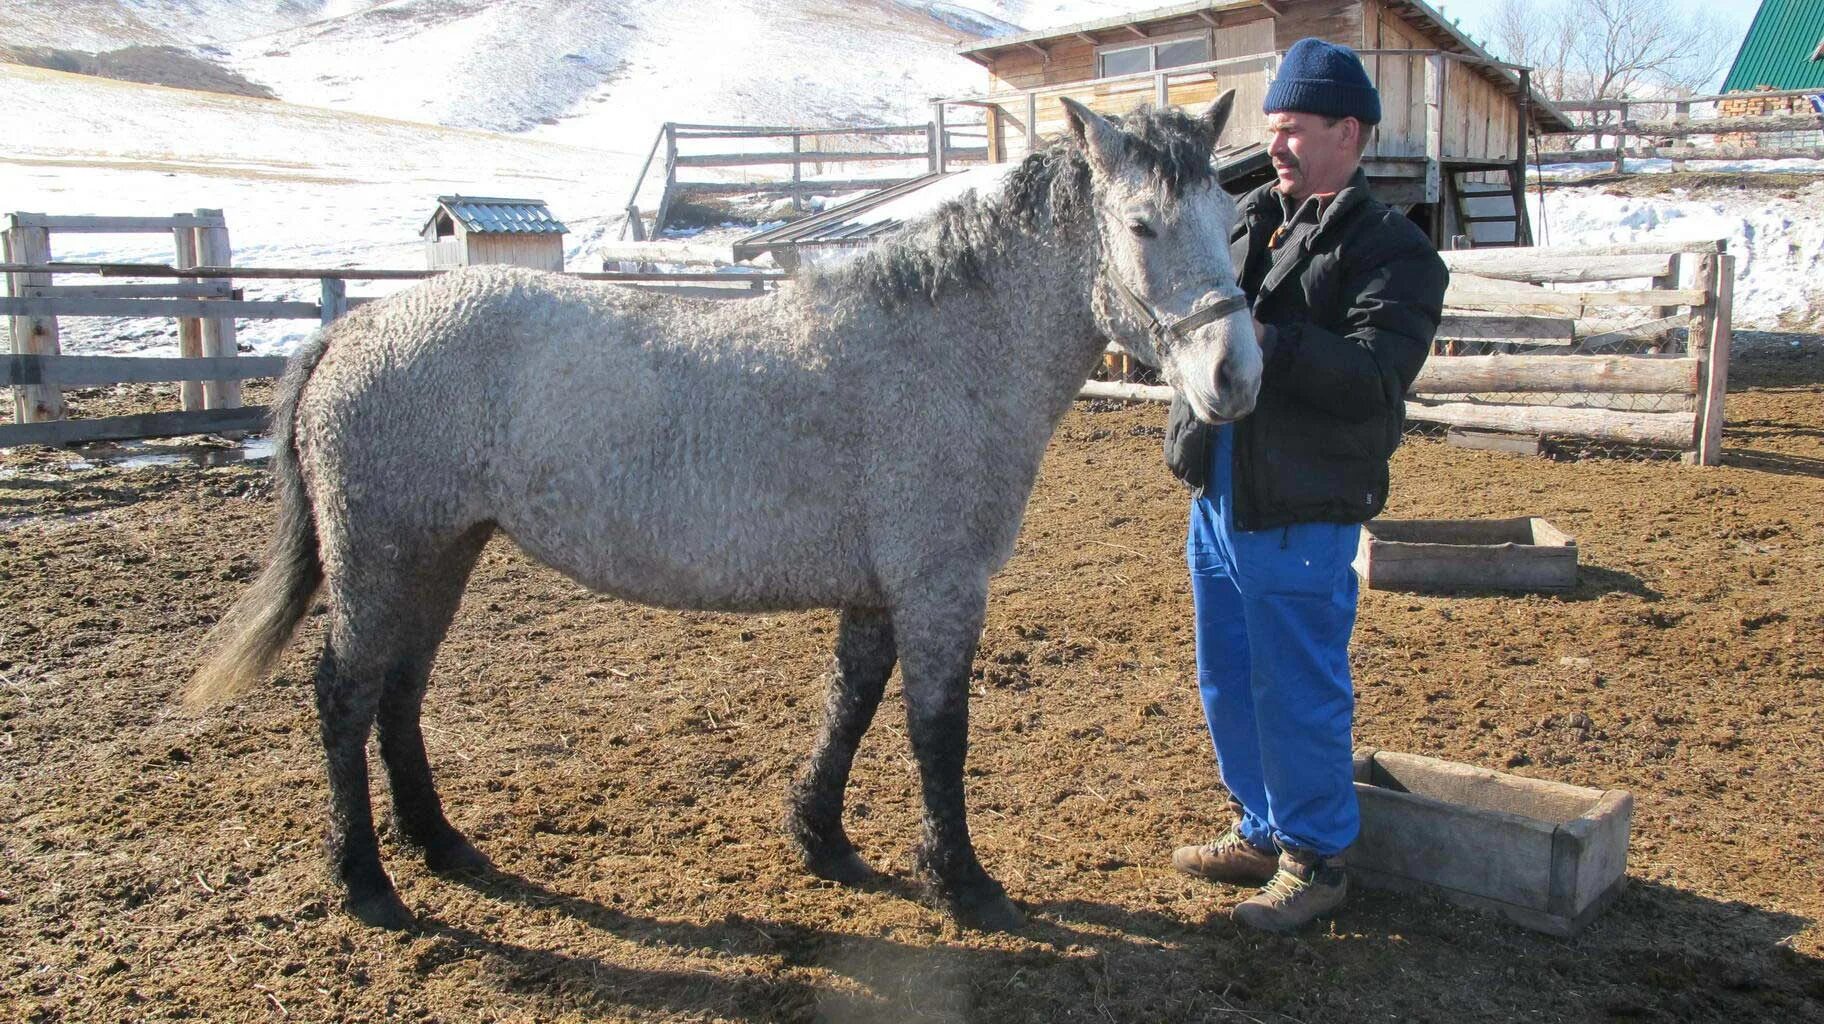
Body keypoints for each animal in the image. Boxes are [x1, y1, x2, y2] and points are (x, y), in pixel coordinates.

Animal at [192, 91, 1262, 930]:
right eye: (1142, 226)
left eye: (1230, 215)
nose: (1235, 375)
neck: (940, 350)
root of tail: (354, 327)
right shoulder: (939, 587)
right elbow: (936, 730)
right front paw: (961, 882)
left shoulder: (880, 590)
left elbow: (850, 701)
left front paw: (820, 838)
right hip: (381, 556)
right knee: (345, 696)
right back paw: (366, 881)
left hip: (441, 554)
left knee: (400, 693)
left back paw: (440, 845)